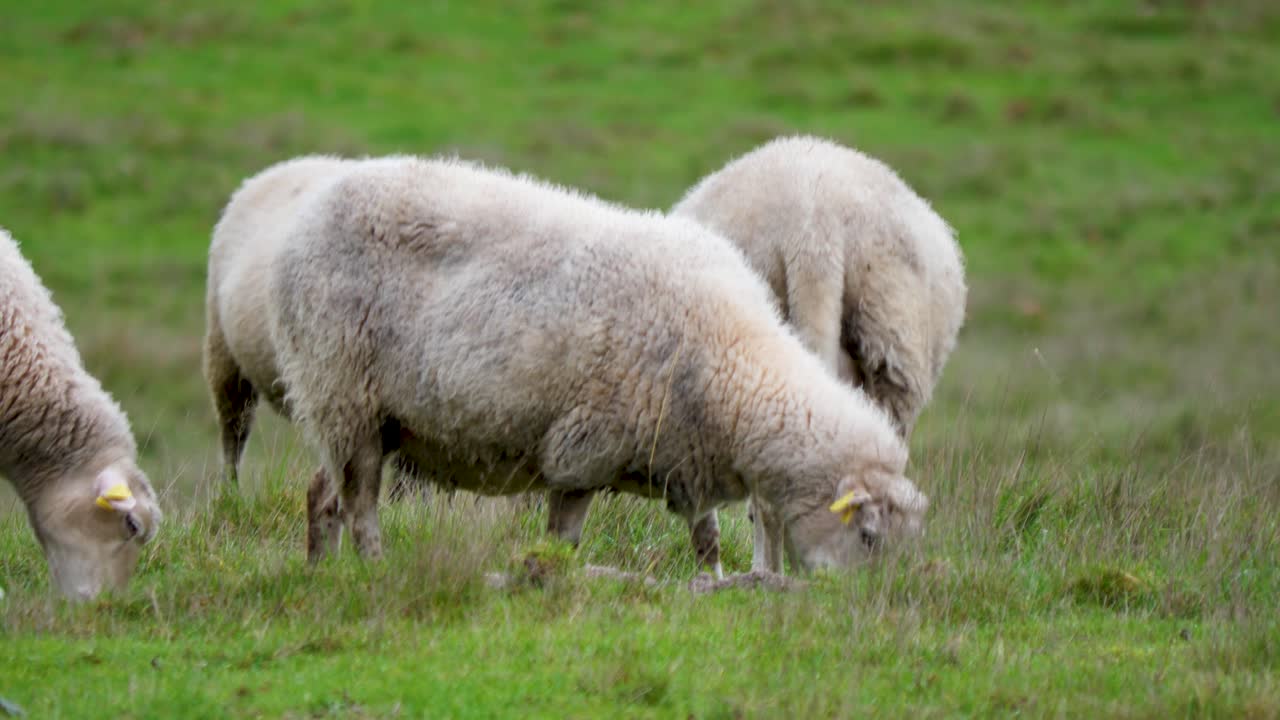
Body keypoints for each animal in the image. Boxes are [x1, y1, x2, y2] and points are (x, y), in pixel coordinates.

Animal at [269, 155, 928, 574]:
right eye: (868, 536)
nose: (858, 610)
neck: (731, 364)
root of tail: (308, 213)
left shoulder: (687, 456)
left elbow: (707, 539)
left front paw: (712, 587)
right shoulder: (583, 450)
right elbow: (563, 541)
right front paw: (547, 580)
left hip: (359, 413)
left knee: (323, 491)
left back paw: (320, 572)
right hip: (342, 388)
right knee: (359, 502)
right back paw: (374, 570)